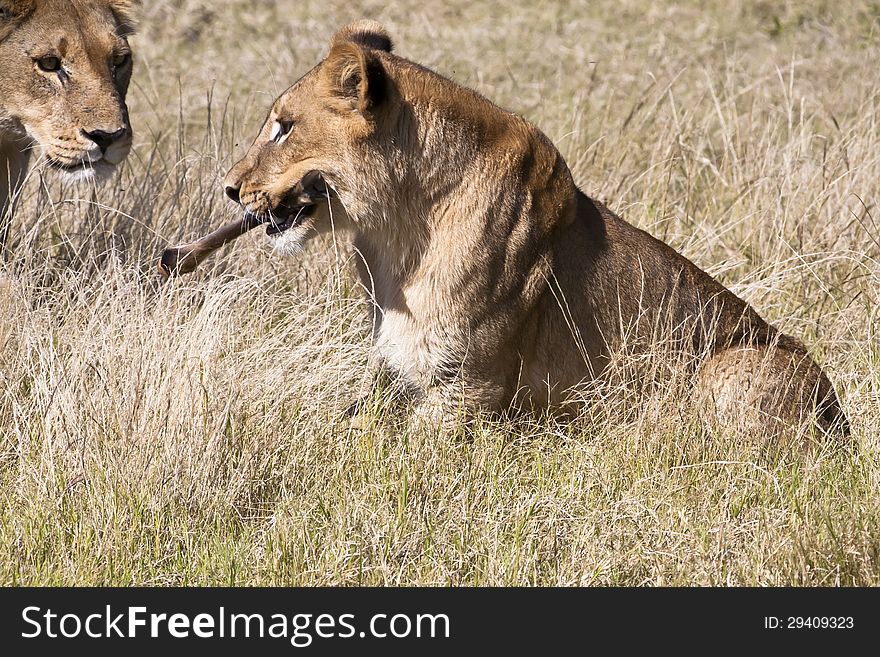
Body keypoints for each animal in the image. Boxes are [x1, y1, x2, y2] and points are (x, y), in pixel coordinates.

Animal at [220, 20, 844, 440]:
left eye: (284, 127)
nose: (228, 188)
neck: (394, 237)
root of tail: (838, 415)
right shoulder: (397, 373)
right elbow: (347, 426)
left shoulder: (467, 388)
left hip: (734, 368)